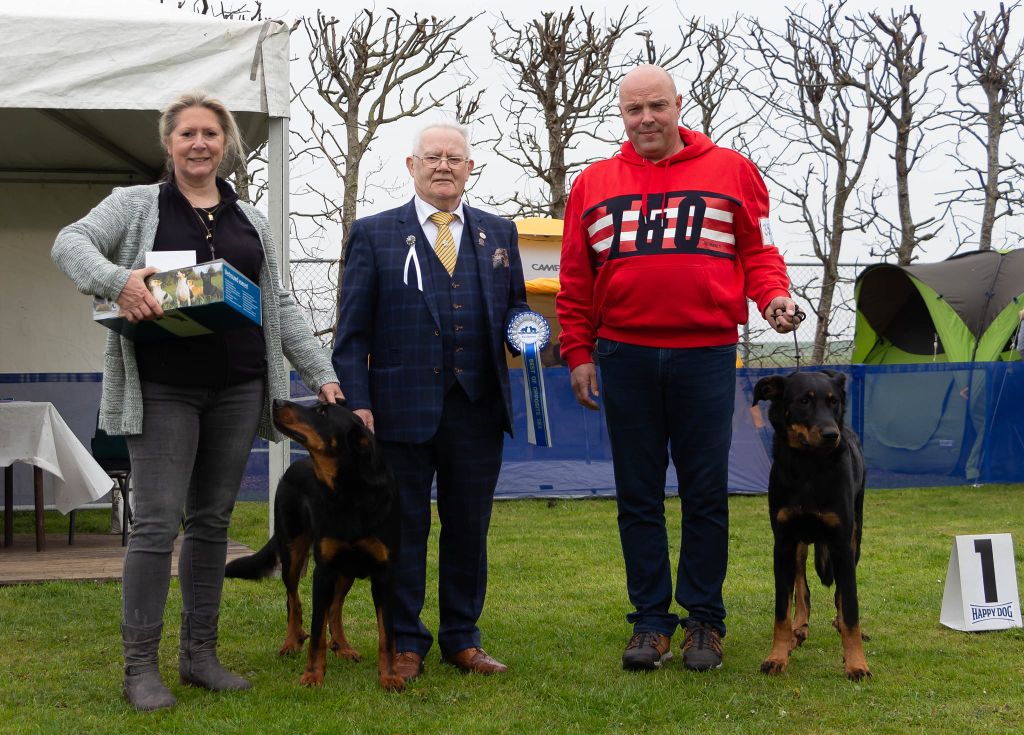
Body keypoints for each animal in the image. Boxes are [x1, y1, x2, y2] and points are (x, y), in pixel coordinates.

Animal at [224, 399, 403, 692]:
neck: (349, 492)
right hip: (293, 551)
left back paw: (342, 646)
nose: (276, 402)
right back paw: (291, 641)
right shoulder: (323, 571)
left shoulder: (383, 574)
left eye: (321, 412)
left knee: (336, 607)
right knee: (292, 599)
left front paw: (390, 677)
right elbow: (317, 629)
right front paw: (313, 675)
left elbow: (386, 633)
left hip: (346, 569)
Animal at [749, 370, 868, 683]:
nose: (831, 435)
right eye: (804, 401)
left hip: (855, 537)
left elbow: (850, 607)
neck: (808, 469)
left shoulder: (841, 545)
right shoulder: (783, 543)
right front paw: (777, 656)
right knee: (802, 587)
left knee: (840, 595)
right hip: (799, 545)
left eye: (834, 401)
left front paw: (856, 662)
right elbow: (782, 610)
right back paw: (798, 628)